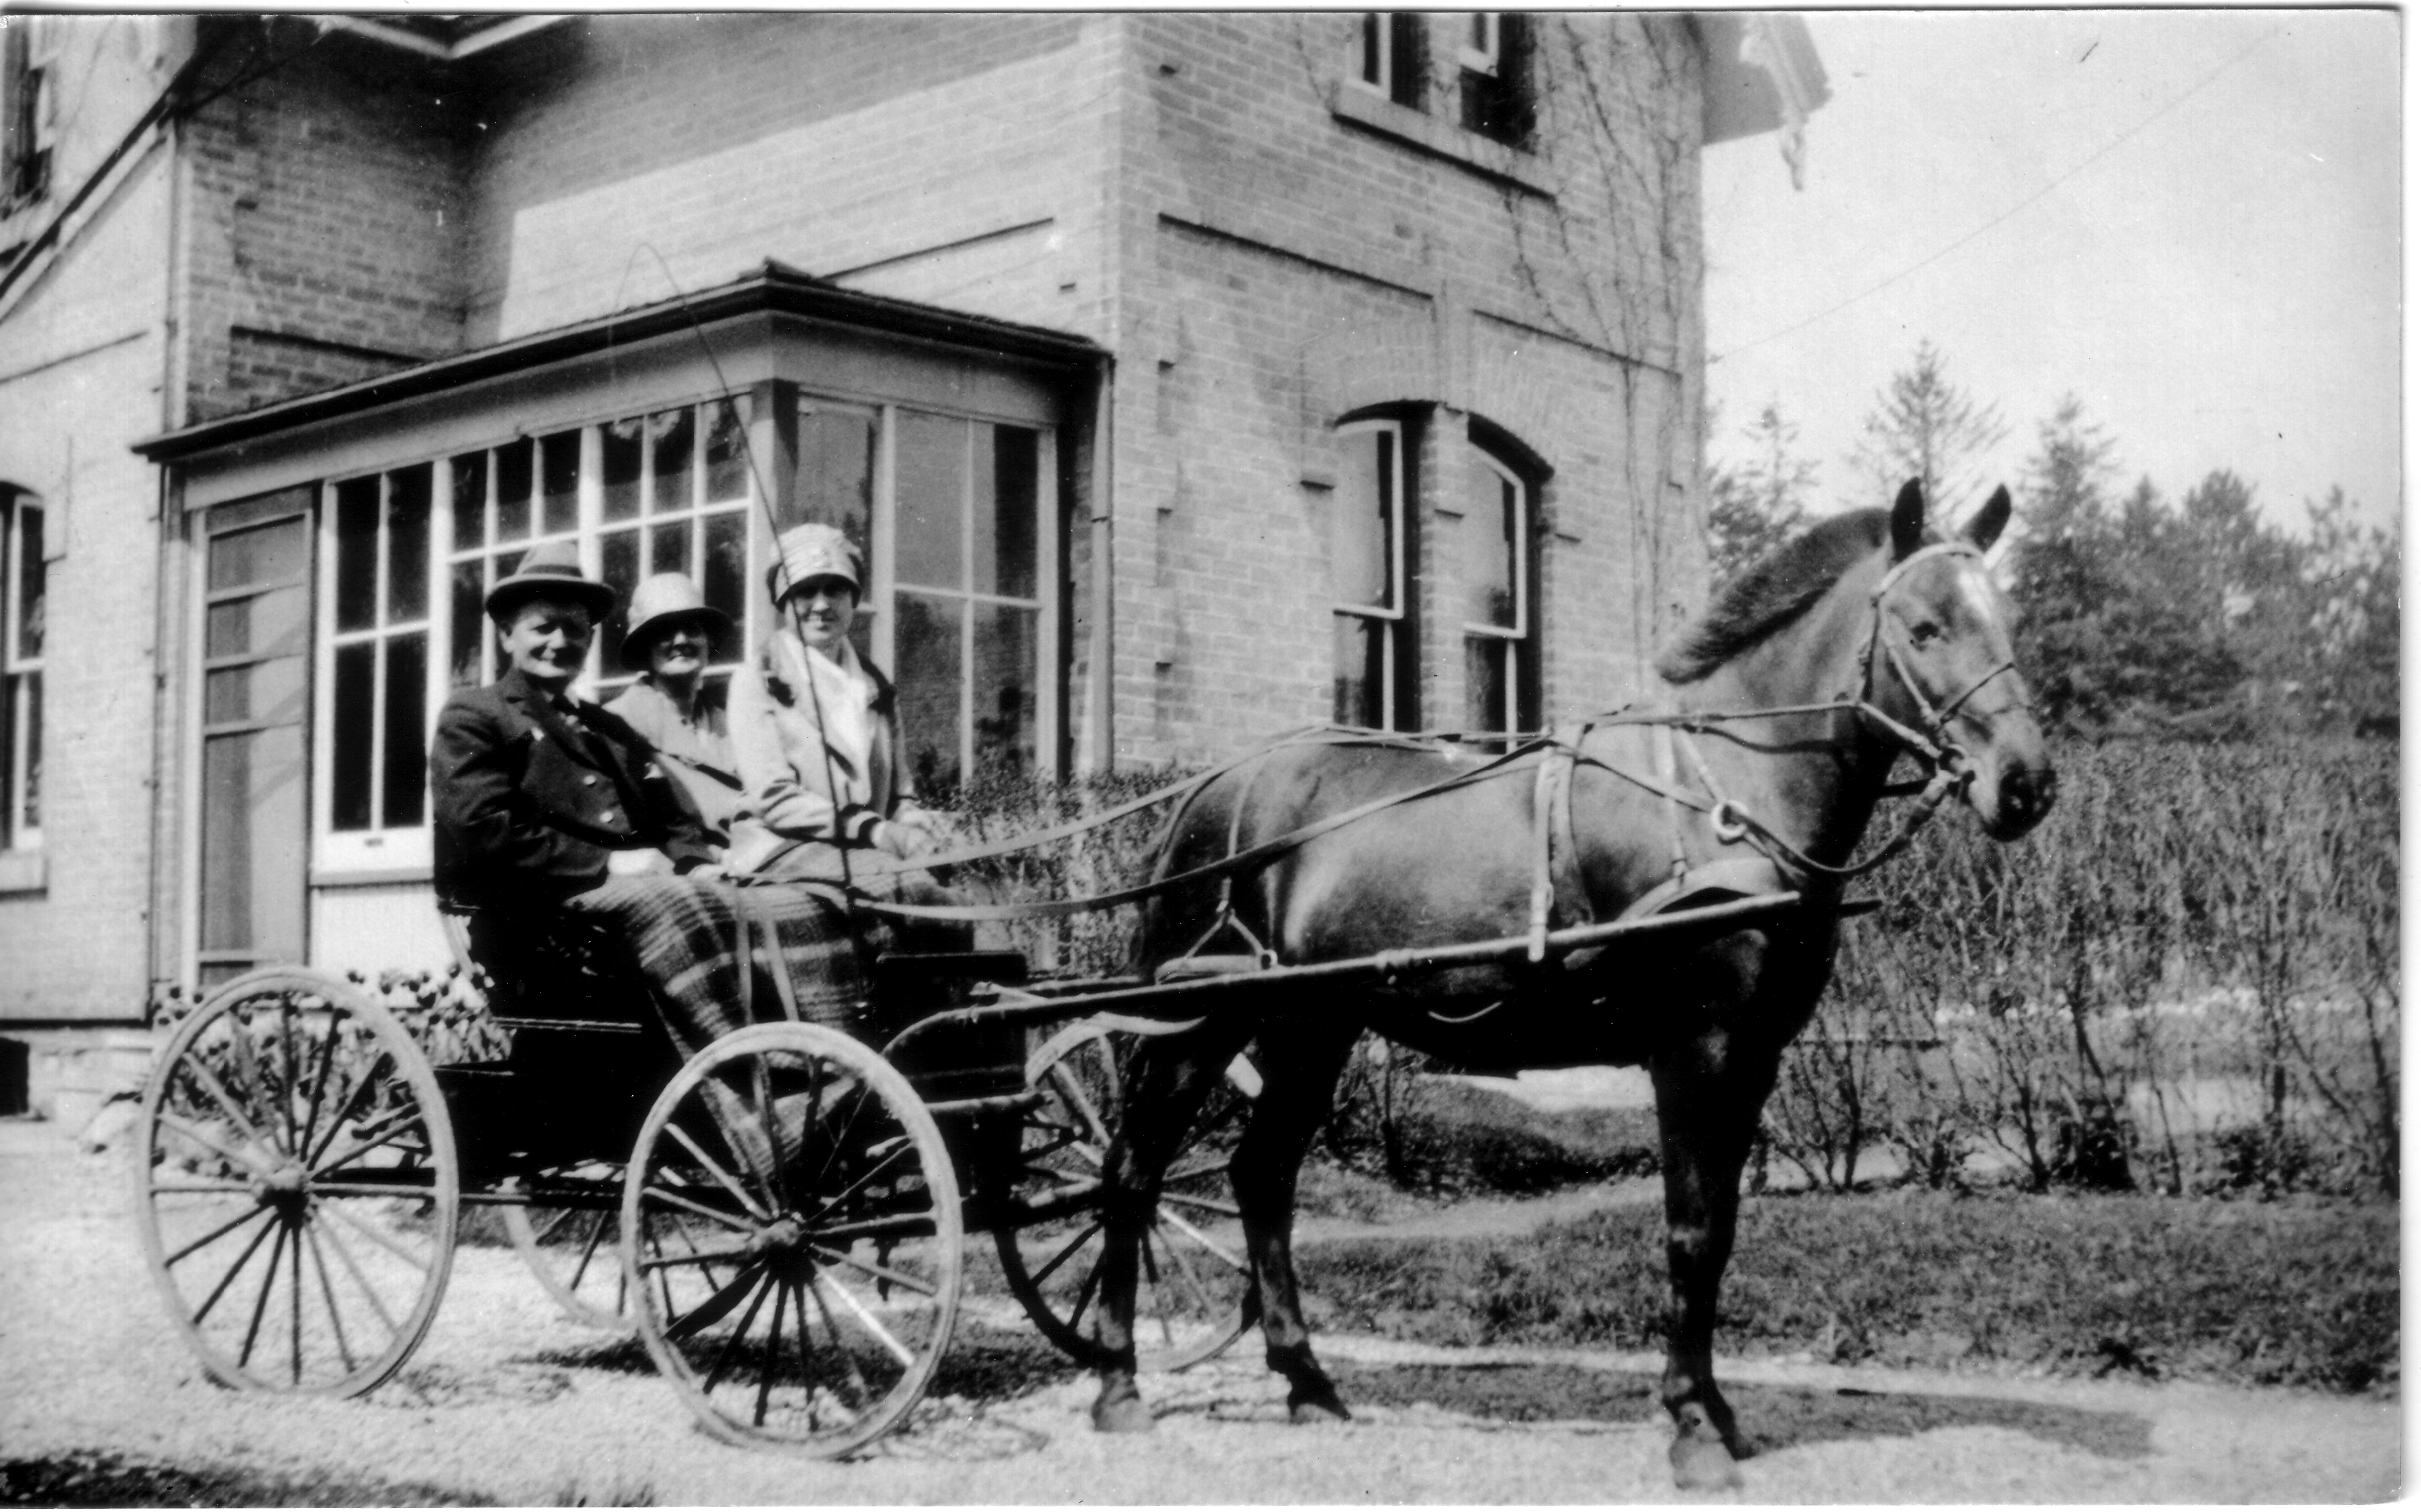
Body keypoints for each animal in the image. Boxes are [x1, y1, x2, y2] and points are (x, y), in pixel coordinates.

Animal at [1089, 481, 2053, 1490]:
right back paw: (1118, 1383)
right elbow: (1691, 1229)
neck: (1729, 799)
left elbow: (1721, 1229)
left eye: (2005, 618)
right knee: (1133, 1171)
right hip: (1195, 1023)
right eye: (1924, 626)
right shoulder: (1694, 1048)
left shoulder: (1753, 1056)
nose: (2026, 783)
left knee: (1261, 1175)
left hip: (1312, 1025)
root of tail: (1205, 795)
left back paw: (1307, 1380)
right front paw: (1693, 1426)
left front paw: (1715, 1411)